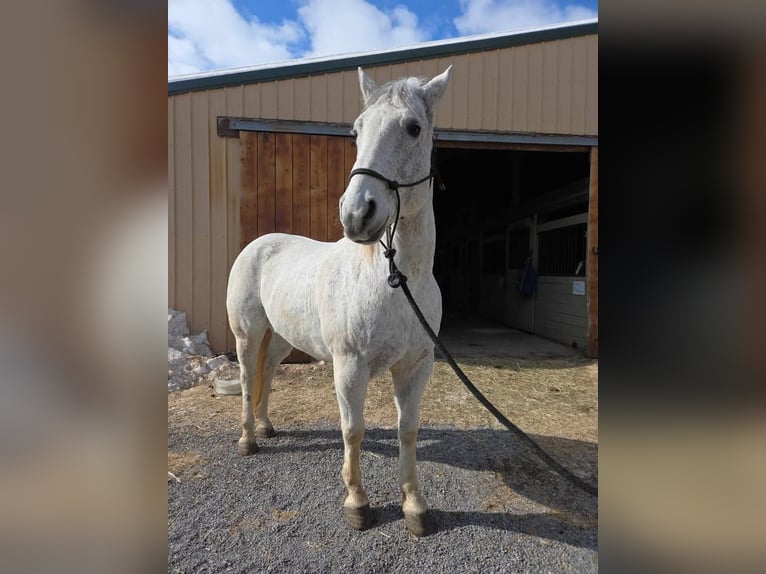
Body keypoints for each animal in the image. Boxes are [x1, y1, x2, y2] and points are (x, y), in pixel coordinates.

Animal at [226, 65, 452, 537]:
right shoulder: (350, 367)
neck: (394, 282)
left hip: (282, 339)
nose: (356, 214)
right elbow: (353, 430)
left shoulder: (417, 366)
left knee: (268, 372)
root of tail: (259, 243)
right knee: (247, 377)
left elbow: (408, 430)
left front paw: (415, 507)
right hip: (247, 334)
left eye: (413, 127)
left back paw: (267, 426)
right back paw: (248, 439)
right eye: (356, 130)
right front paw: (357, 503)